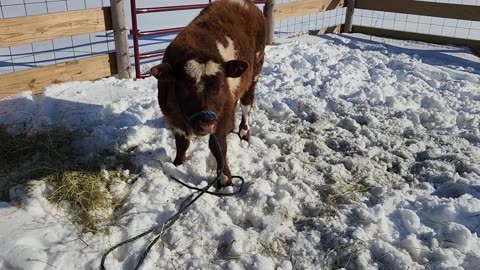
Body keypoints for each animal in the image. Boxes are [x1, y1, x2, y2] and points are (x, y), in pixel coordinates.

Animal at [151, 0, 266, 186]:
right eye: (184, 87)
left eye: (219, 86)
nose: (206, 124)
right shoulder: (173, 117)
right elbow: (181, 142)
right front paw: (178, 163)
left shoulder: (219, 117)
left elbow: (218, 146)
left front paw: (225, 177)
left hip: (255, 71)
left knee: (246, 104)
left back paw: (244, 132)